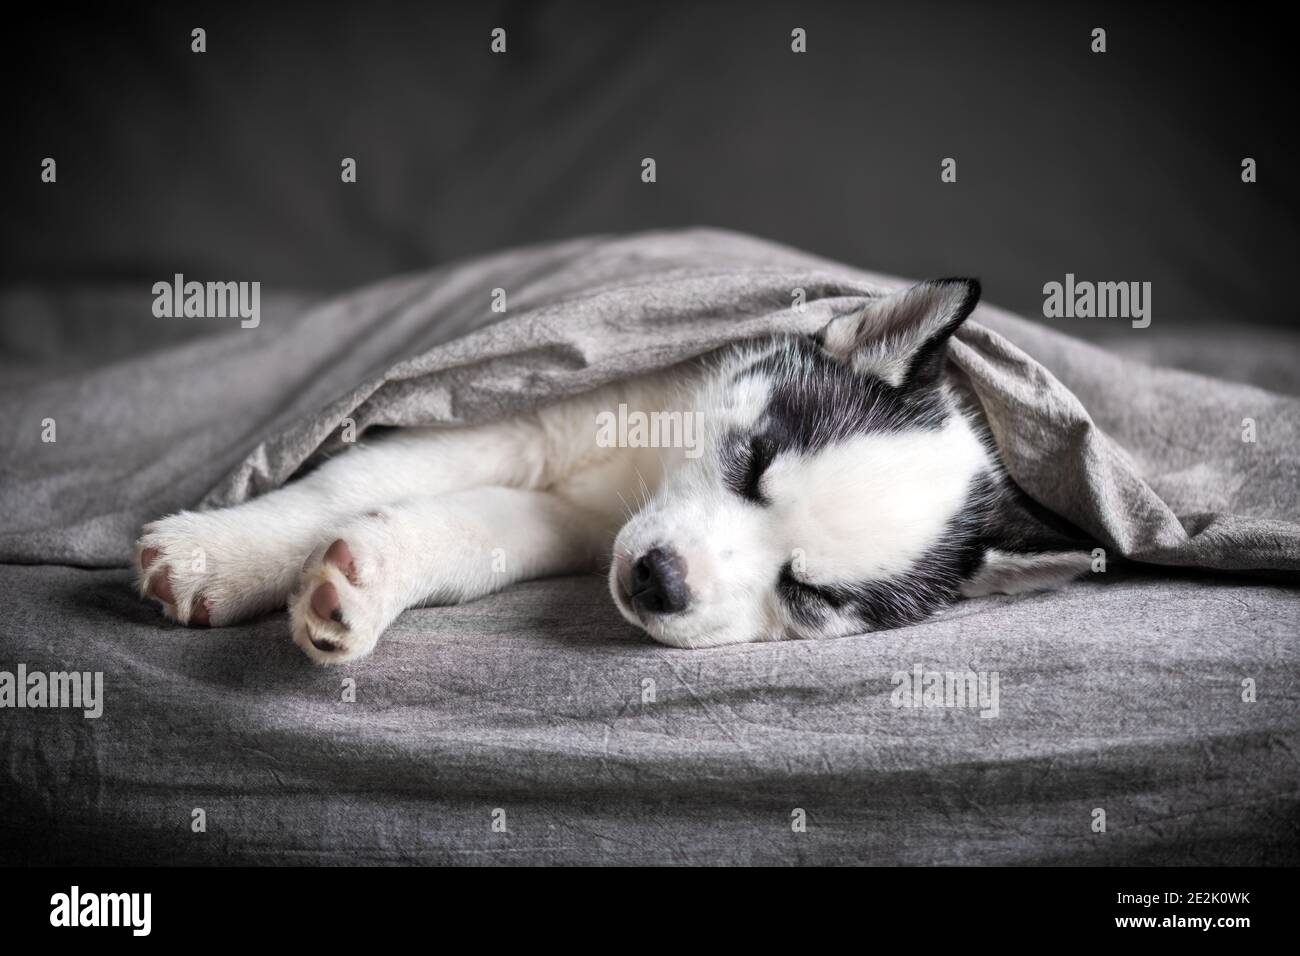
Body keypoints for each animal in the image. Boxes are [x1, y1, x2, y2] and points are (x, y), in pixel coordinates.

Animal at [134, 280, 1086, 660]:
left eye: (810, 595)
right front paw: (219, 555)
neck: (648, 462)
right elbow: (348, 482)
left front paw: (362, 587)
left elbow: (470, 536)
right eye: (752, 460)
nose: (659, 579)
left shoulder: (576, 524)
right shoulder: (520, 423)